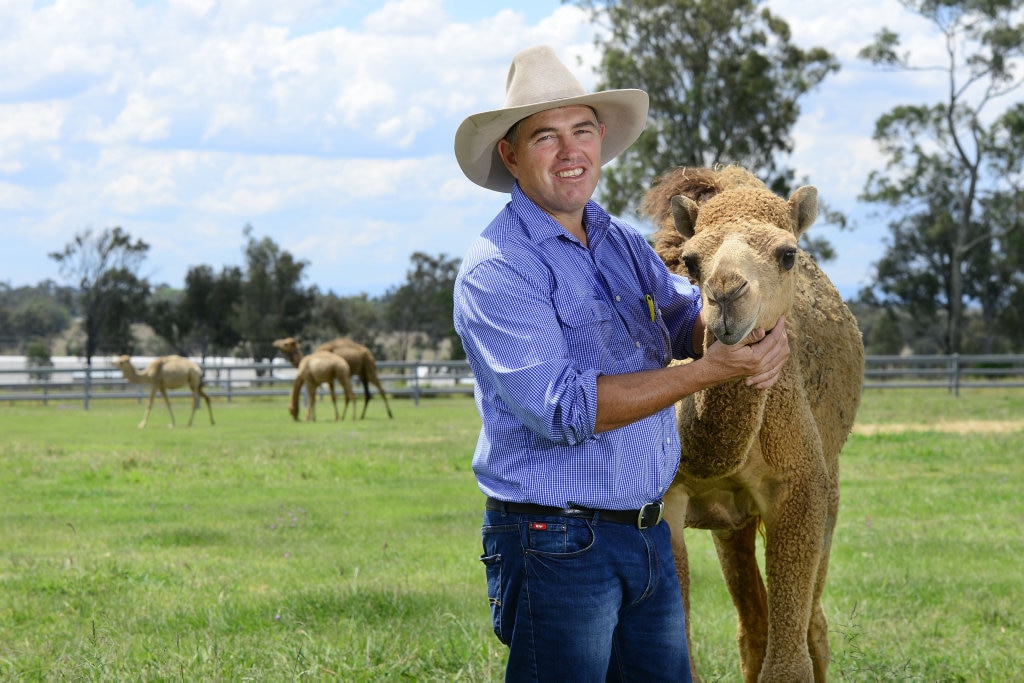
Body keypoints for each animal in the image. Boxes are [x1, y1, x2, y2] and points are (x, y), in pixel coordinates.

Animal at [643, 166, 860, 683]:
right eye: (691, 261)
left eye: (787, 254)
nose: (726, 292)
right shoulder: (669, 498)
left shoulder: (800, 486)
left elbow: (790, 663)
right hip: (731, 523)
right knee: (752, 623)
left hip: (831, 485)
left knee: (814, 623)